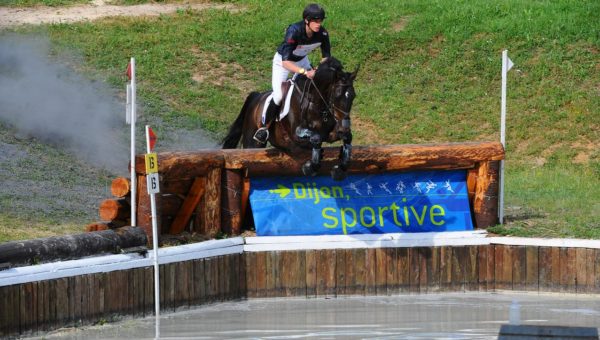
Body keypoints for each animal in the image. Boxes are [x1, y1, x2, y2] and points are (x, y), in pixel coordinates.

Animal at [223, 57, 358, 182]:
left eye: (353, 96)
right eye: (337, 95)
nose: (344, 127)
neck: (315, 102)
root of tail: (256, 96)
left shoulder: (329, 133)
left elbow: (347, 137)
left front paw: (340, 169)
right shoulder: (296, 135)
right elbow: (316, 138)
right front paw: (310, 167)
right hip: (252, 142)